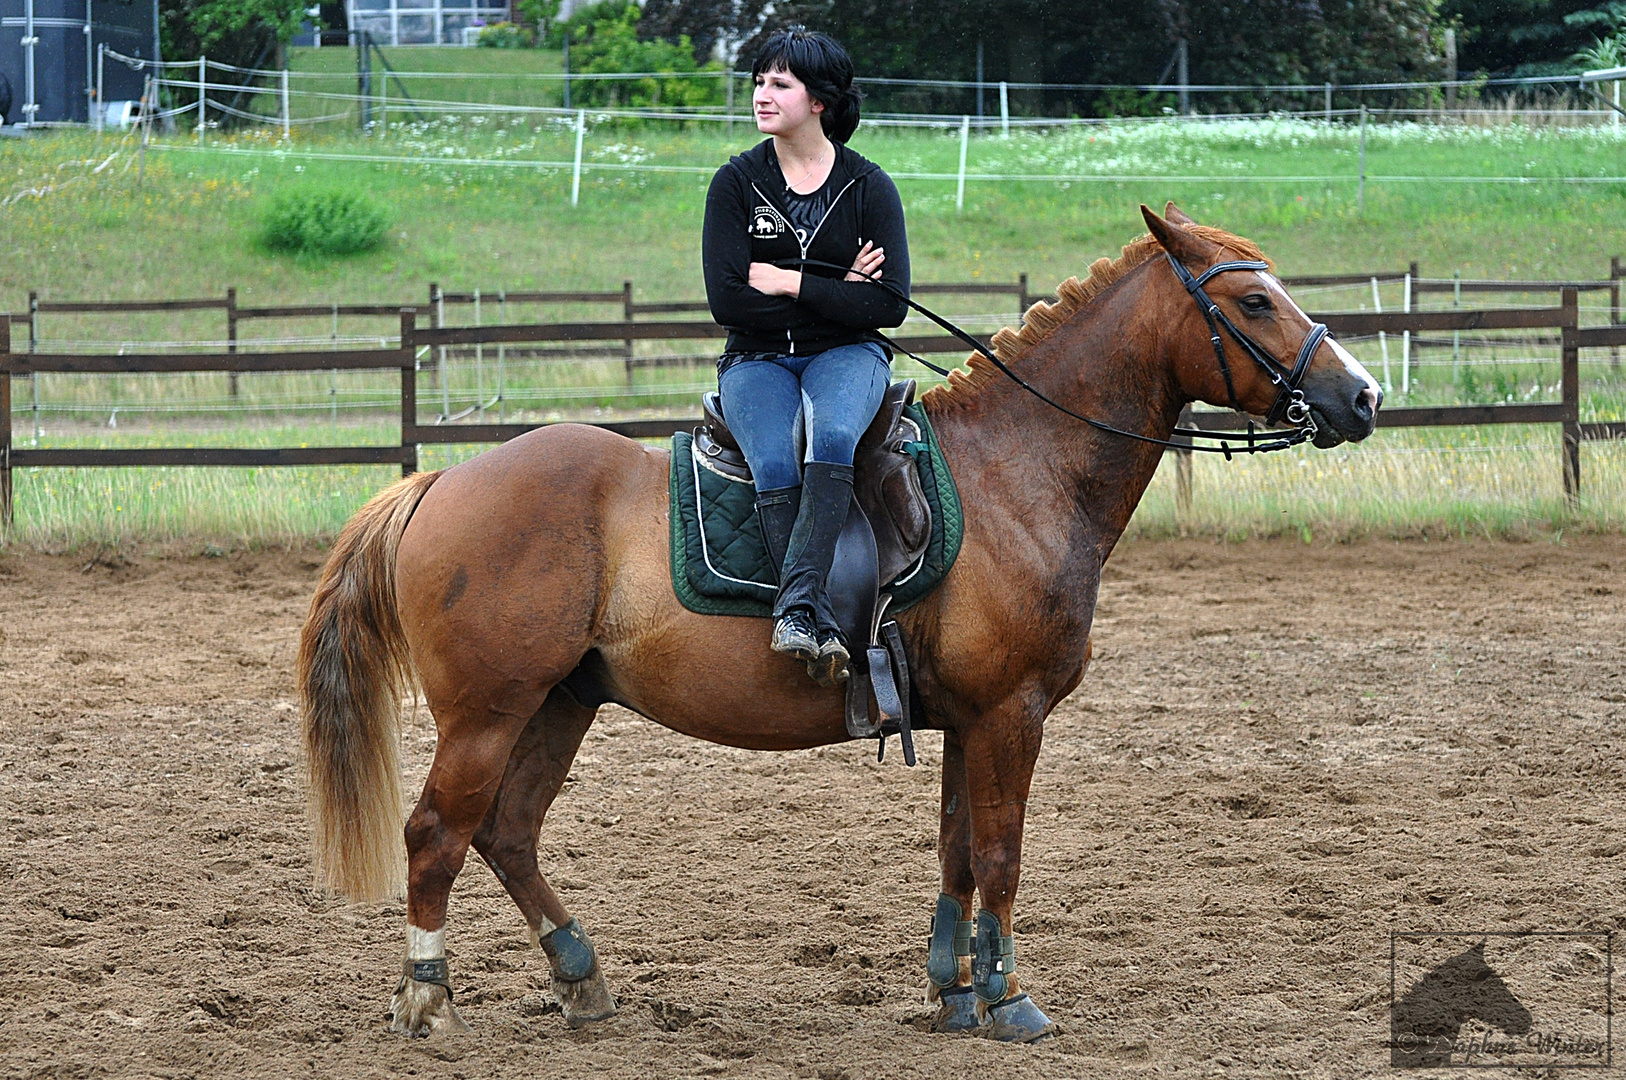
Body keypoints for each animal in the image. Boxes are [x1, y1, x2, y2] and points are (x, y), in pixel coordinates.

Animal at [295, 206, 1385, 1040]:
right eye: (1254, 302)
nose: (1363, 395)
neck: (1017, 471)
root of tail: (441, 483)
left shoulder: (967, 721)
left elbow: (957, 851)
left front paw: (953, 992)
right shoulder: (1012, 714)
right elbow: (1001, 856)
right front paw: (1010, 1001)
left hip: (560, 702)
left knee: (507, 832)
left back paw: (580, 977)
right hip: (488, 712)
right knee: (438, 834)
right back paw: (428, 1001)